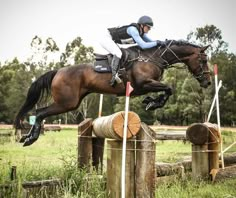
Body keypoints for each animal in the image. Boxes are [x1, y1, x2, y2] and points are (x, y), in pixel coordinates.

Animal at [14, 39, 210, 146]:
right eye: (203, 60)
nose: (207, 82)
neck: (153, 58)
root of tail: (58, 71)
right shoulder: (143, 84)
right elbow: (169, 88)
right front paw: (153, 103)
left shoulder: (143, 87)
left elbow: (167, 90)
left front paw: (150, 102)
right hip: (67, 102)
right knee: (40, 112)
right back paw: (30, 138)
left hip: (71, 102)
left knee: (40, 112)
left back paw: (27, 137)